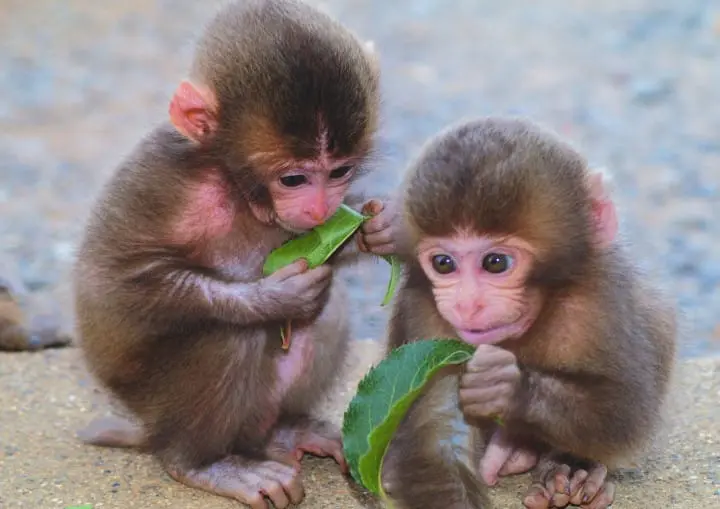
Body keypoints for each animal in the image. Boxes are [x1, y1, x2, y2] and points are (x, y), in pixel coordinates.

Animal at [73, 1, 396, 506]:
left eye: (339, 172)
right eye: (293, 179)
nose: (320, 208)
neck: (236, 186)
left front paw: (374, 228)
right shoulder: (159, 179)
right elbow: (113, 283)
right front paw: (272, 298)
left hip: (258, 413)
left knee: (329, 312)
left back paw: (286, 431)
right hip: (160, 407)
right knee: (229, 337)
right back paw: (202, 463)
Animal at [380, 116, 676, 508]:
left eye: (495, 263)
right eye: (443, 264)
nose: (465, 304)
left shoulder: (597, 298)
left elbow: (626, 409)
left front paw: (509, 387)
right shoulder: (426, 317)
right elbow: (437, 434)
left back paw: (570, 470)